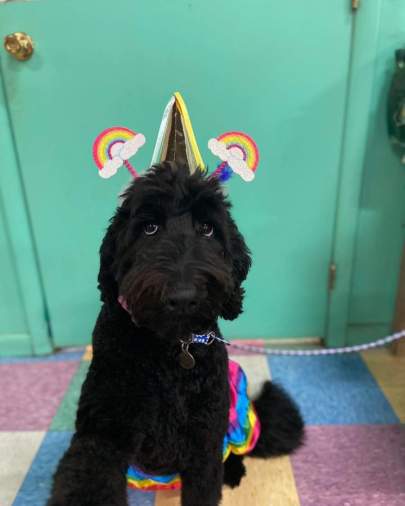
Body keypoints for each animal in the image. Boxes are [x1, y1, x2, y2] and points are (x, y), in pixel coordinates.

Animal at [47, 163, 302, 506]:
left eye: (207, 228)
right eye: (149, 228)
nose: (183, 296)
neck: (171, 349)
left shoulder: (204, 438)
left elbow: (204, 486)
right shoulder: (102, 431)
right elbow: (88, 479)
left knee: (233, 452)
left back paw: (234, 471)